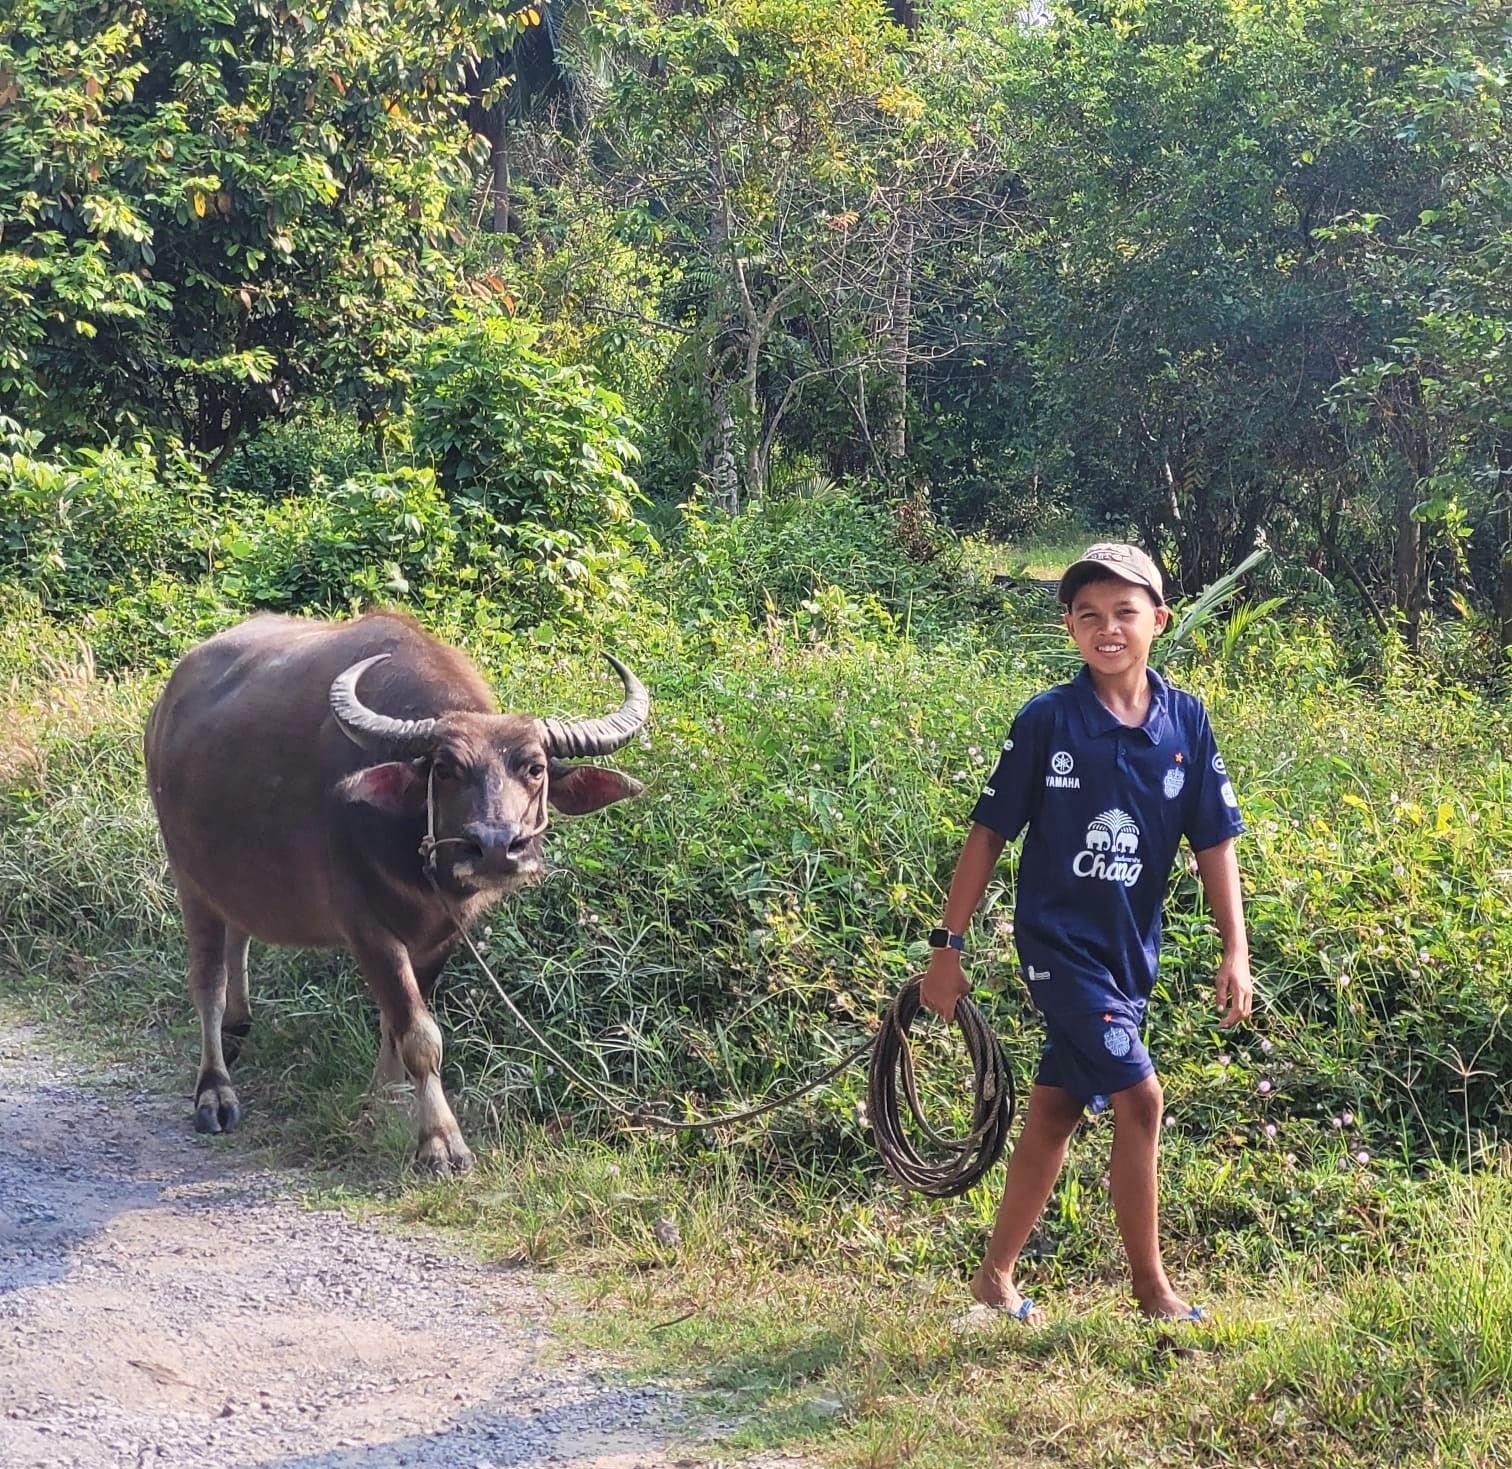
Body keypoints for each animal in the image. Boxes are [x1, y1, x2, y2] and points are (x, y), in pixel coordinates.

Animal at [145, 610, 648, 1173]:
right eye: (446, 769)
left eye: (535, 768)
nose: (497, 847)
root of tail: (167, 704)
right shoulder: (368, 929)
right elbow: (419, 1034)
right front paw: (441, 1141)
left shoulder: (443, 936)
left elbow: (394, 1026)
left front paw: (382, 1102)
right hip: (188, 876)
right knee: (206, 981)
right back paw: (215, 1090)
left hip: (230, 875)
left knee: (239, 937)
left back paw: (238, 1026)